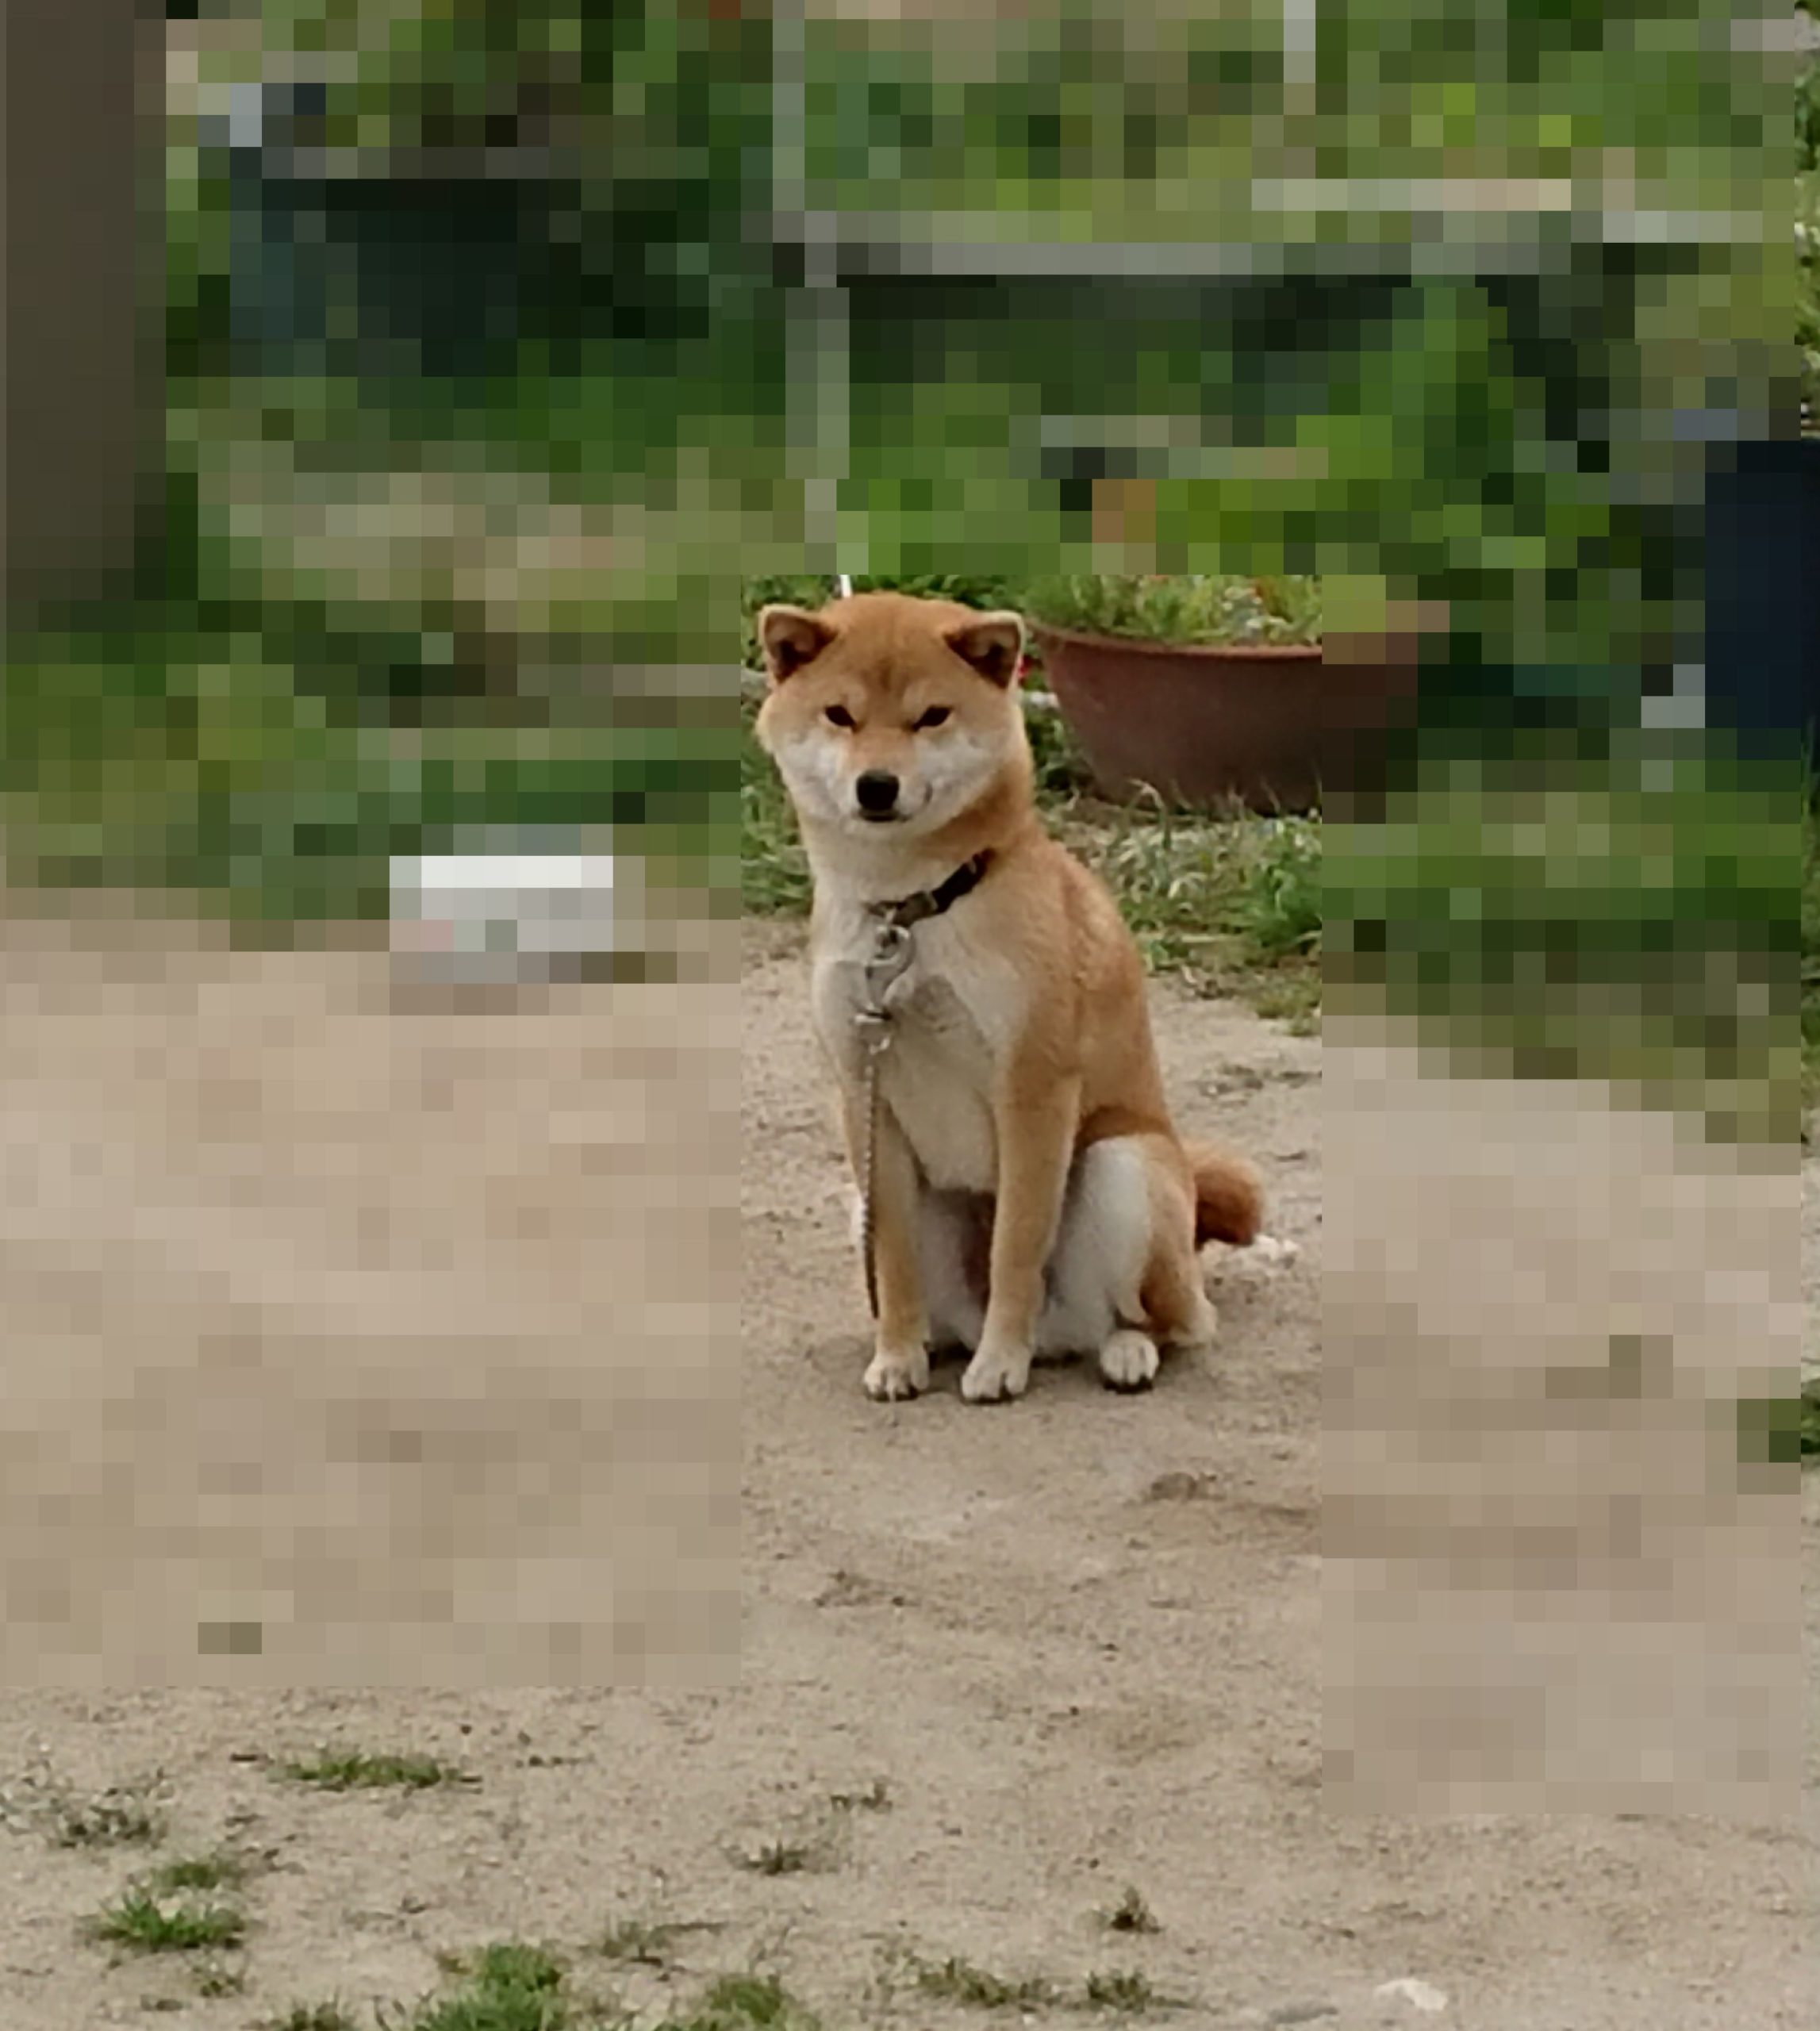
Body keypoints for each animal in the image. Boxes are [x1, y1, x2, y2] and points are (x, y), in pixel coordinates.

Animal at [759, 593, 1275, 1405]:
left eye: (930, 717)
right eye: (839, 715)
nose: (877, 786)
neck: (911, 912)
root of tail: (1061, 1338)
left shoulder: (1032, 1088)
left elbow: (1016, 1247)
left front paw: (1002, 1361)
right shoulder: (865, 1094)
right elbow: (895, 1266)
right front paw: (895, 1355)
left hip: (1125, 1166)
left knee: (1164, 1320)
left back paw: (1120, 1352)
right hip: (867, 1201)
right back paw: (940, 1343)